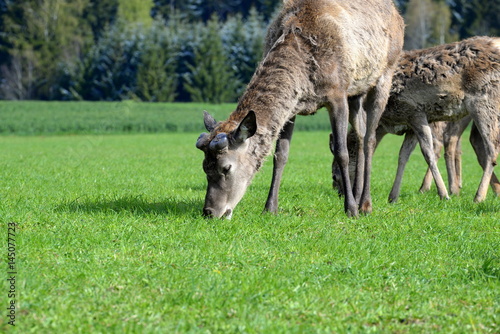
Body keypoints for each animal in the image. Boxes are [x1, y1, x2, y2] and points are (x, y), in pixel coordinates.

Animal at [193, 0, 404, 218]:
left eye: (226, 168)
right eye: (204, 167)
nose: (209, 211)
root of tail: (395, 11)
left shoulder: (337, 94)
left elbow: (342, 152)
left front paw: (351, 209)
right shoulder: (292, 108)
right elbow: (280, 155)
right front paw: (270, 208)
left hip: (385, 73)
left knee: (370, 138)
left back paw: (365, 204)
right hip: (356, 91)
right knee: (361, 135)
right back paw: (357, 192)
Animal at [332, 36, 500, 204]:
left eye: (334, 175)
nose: (340, 195)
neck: (385, 120)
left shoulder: (415, 112)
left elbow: (428, 153)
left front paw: (443, 194)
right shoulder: (409, 125)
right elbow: (403, 156)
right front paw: (393, 196)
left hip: (483, 102)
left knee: (491, 149)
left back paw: (478, 196)